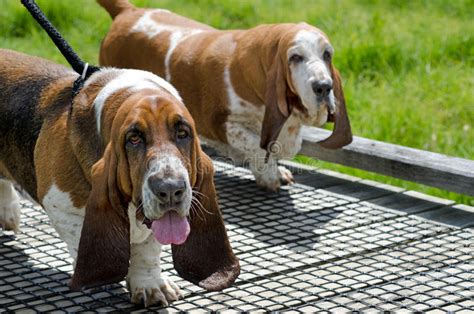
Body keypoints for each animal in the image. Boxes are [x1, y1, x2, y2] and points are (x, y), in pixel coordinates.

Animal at [0, 49, 239, 306]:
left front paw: (150, 285)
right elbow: (81, 240)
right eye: (134, 139)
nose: (170, 189)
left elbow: (148, 250)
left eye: (183, 133)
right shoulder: (62, 206)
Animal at [99, 0, 352, 191]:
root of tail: (128, 11)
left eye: (327, 54)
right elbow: (260, 147)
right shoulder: (223, 124)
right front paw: (269, 176)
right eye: (295, 57)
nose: (323, 87)